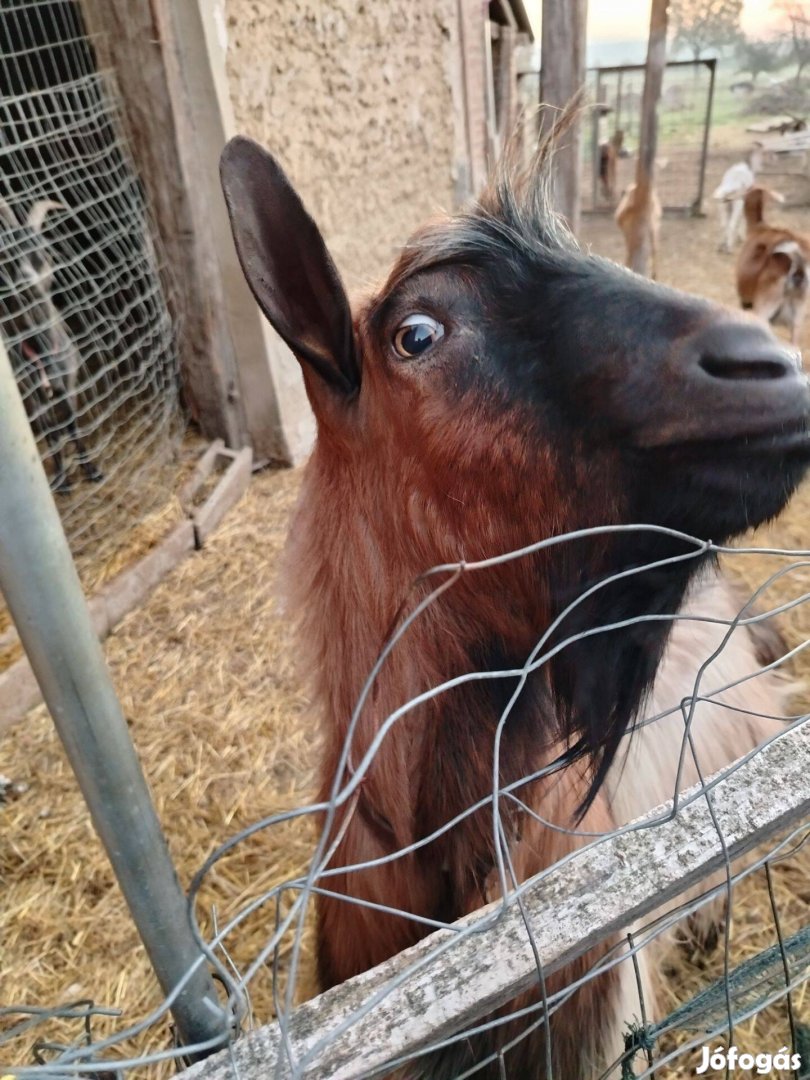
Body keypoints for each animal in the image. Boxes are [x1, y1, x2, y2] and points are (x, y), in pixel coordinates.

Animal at [0, 196, 101, 492]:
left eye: (44, 253)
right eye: (6, 257)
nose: (24, 280)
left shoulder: (68, 383)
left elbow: (72, 425)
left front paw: (92, 470)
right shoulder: (32, 395)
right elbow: (50, 434)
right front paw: (62, 480)